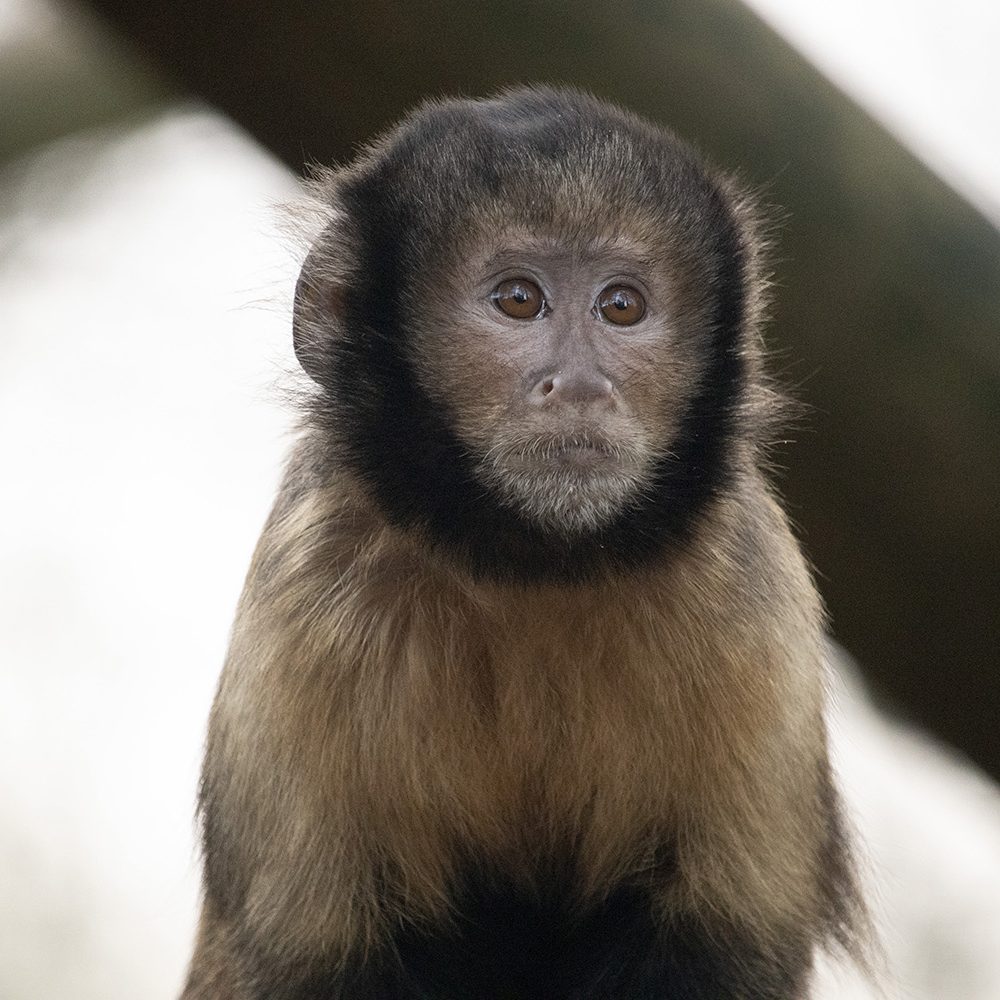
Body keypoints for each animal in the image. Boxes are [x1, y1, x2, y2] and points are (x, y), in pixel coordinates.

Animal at [182, 88, 868, 1000]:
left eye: (621, 306)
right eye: (517, 300)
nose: (579, 386)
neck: (531, 569)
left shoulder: (748, 601)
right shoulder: (308, 594)